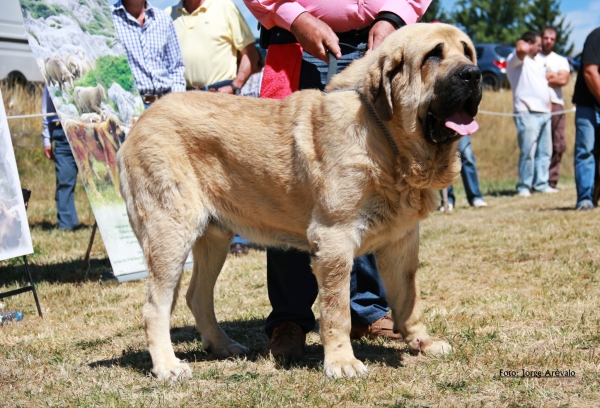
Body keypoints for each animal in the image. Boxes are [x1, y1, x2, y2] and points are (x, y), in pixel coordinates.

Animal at [117, 23, 482, 380]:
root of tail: (138, 124)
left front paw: (422, 342)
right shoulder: (334, 241)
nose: (474, 74)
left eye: (467, 51)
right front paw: (342, 362)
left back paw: (222, 346)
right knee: (155, 306)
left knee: (197, 296)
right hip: (171, 233)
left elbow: (408, 299)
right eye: (433, 56)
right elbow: (337, 310)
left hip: (214, 238)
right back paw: (168, 366)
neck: (385, 138)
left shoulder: (401, 242)